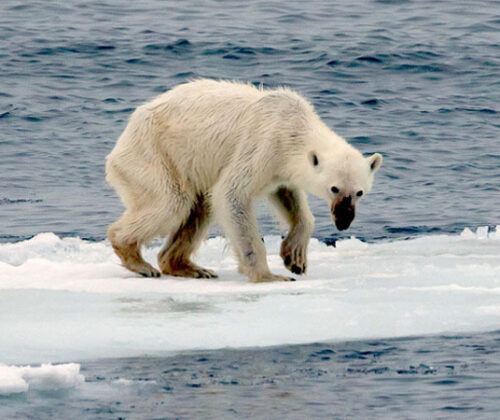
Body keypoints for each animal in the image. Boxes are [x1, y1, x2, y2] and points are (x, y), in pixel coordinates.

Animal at [104, 79, 382, 282]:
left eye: (359, 192)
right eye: (334, 188)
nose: (344, 221)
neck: (293, 127)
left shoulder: (279, 168)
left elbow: (288, 197)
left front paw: (295, 258)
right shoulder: (263, 144)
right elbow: (232, 194)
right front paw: (269, 276)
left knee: (199, 208)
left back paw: (190, 267)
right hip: (153, 155)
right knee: (172, 202)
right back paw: (139, 261)